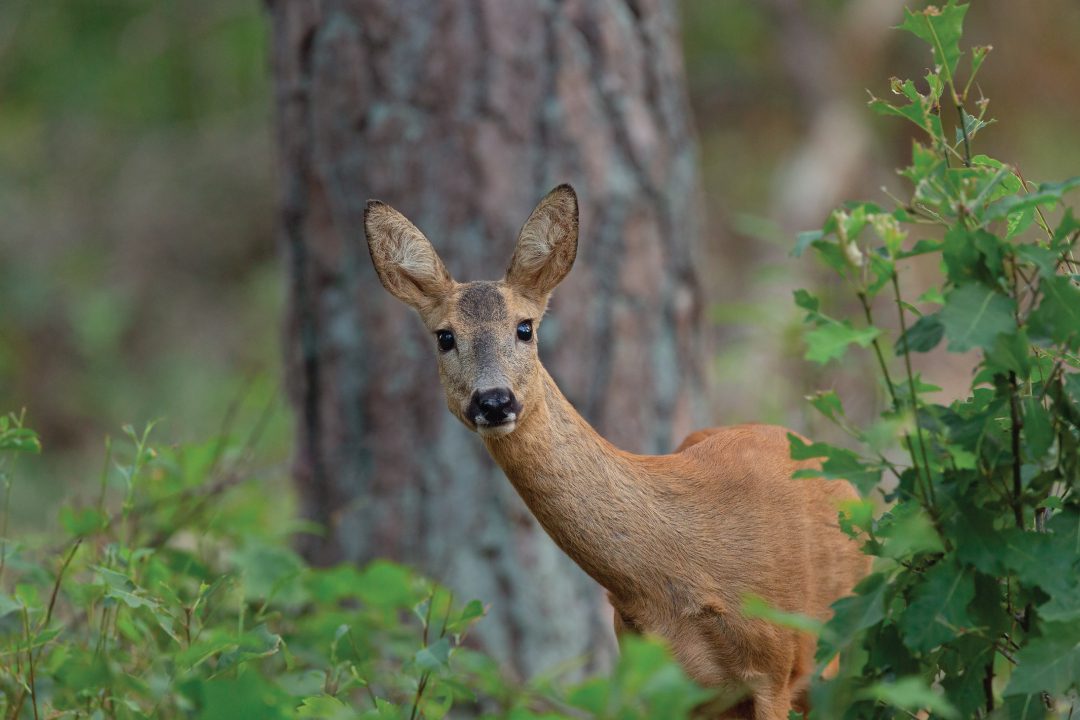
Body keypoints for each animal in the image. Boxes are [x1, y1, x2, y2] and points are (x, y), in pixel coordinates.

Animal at [367, 183, 872, 716]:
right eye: (445, 337)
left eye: (525, 327)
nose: (494, 400)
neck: (682, 568)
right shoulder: (650, 669)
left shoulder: (775, 667)